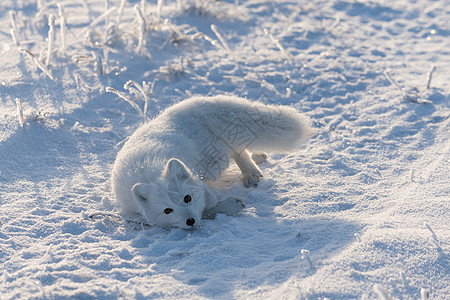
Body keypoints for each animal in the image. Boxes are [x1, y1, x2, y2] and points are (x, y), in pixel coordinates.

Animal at [110, 95, 312, 229]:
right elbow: (205, 211)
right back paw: (256, 162)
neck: (148, 173)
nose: (190, 221)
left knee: (237, 151)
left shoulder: (196, 177)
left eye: (187, 198)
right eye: (167, 210)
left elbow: (208, 203)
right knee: (240, 149)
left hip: (214, 162)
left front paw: (227, 205)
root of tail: (198, 106)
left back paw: (251, 171)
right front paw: (229, 206)